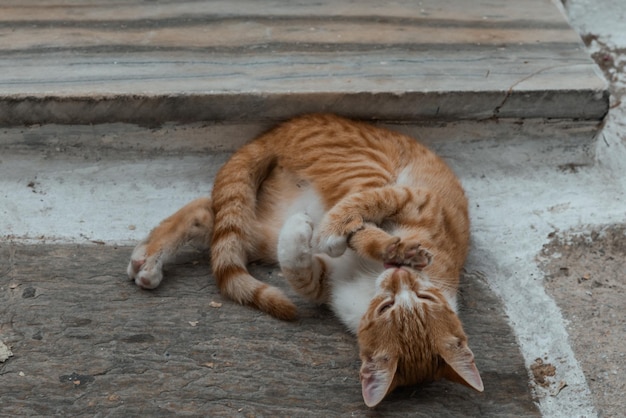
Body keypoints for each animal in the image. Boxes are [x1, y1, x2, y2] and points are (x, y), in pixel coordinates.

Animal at [124, 112, 480, 406]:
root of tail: (281, 128)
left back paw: (148, 258)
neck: (370, 282)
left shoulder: (322, 281)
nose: (398, 275)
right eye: (389, 306)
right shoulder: (417, 198)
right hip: (363, 168)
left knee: (209, 214)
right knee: (353, 209)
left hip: (258, 231)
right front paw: (376, 243)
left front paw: (301, 234)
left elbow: (297, 264)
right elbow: (365, 213)